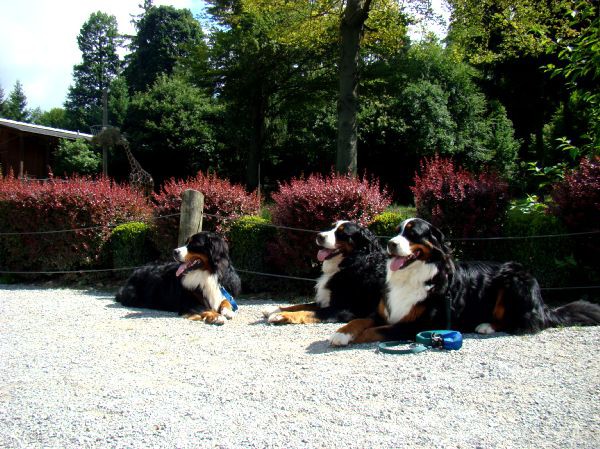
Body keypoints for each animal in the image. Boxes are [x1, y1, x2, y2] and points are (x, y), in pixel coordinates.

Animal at [330, 219, 596, 344]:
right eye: (397, 232)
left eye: (412, 233)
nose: (391, 243)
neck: (414, 275)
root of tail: (542, 305)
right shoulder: (385, 310)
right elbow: (359, 320)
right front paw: (342, 334)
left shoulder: (417, 325)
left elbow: (374, 331)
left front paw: (352, 338)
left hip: (515, 278)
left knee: (527, 323)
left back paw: (486, 326)